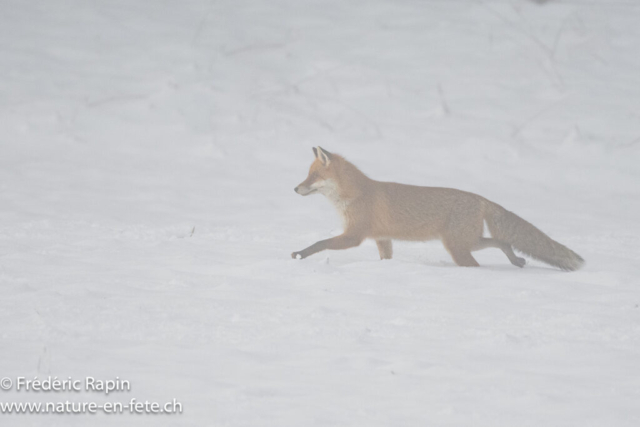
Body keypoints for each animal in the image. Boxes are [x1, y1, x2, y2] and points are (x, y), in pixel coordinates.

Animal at [292, 147, 584, 271]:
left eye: (313, 176)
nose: (295, 189)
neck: (355, 194)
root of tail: (480, 198)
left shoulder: (355, 235)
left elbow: (319, 243)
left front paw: (300, 255)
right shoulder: (383, 239)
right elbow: (386, 259)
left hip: (457, 246)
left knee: (481, 260)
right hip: (466, 241)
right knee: (502, 241)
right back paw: (515, 260)